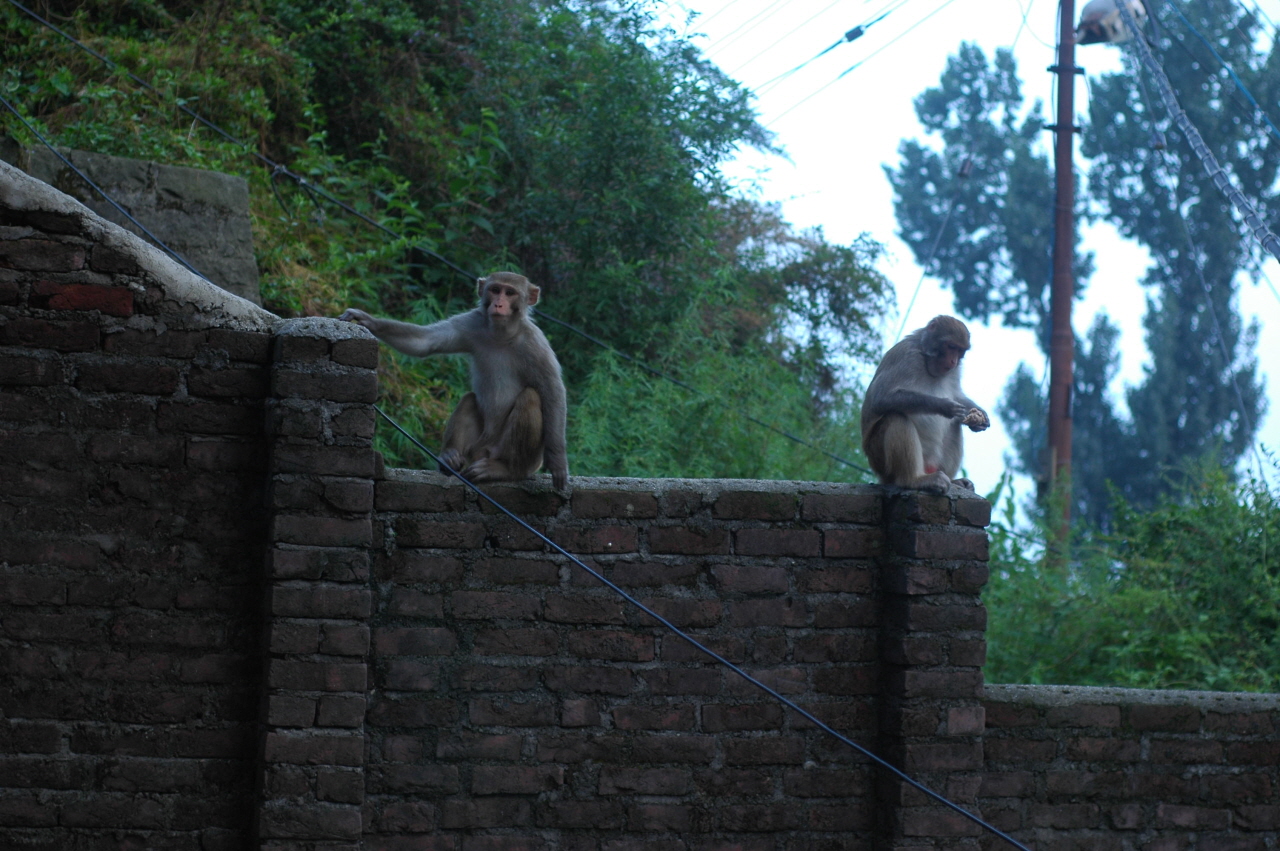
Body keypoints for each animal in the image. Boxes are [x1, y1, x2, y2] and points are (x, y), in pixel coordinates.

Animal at [345, 268, 576, 488]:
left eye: (510, 293)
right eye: (495, 290)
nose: (498, 304)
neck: (502, 334)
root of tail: (486, 450)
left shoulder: (535, 344)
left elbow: (552, 390)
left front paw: (557, 460)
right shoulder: (471, 323)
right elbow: (425, 341)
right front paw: (368, 320)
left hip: (524, 458)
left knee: (531, 397)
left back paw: (506, 469)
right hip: (477, 448)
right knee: (469, 399)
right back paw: (449, 457)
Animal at [860, 314, 988, 493]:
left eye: (960, 351)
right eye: (951, 346)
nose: (953, 361)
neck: (925, 354)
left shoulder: (954, 371)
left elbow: (957, 395)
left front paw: (980, 419)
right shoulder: (907, 357)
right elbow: (880, 398)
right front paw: (943, 406)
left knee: (954, 426)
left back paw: (953, 480)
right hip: (879, 458)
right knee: (895, 417)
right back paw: (913, 480)